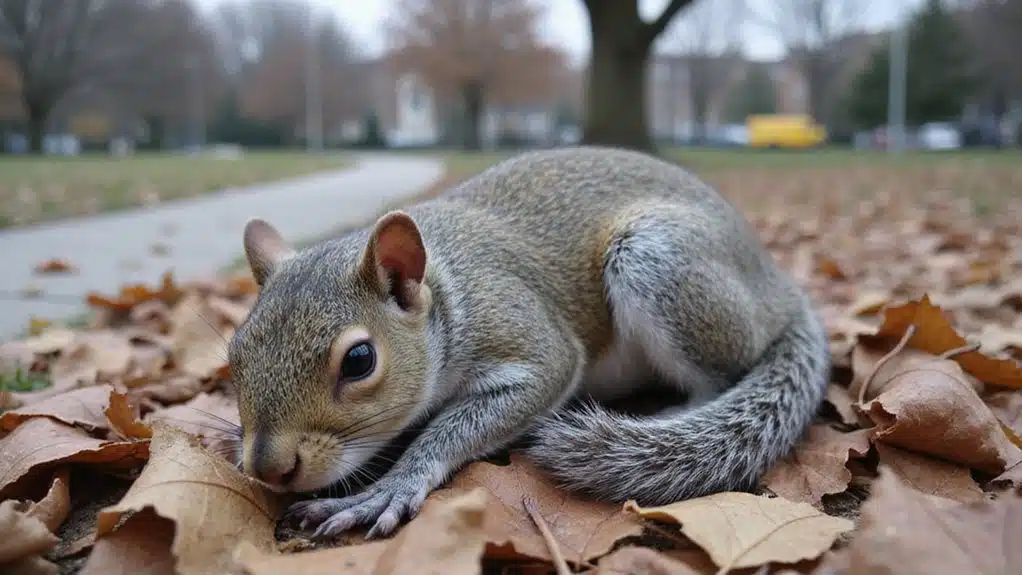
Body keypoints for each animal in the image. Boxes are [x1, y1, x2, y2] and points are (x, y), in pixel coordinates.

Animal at [228, 145, 830, 540]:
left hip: (660, 260)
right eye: (233, 354)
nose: (268, 468)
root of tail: (776, 282)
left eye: (359, 360)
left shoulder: (528, 337)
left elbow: (467, 419)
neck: (448, 286)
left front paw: (393, 484)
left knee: (721, 378)